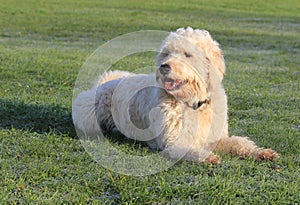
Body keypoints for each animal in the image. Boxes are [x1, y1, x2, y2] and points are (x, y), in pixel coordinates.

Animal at [72, 26, 278, 163]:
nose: (164, 67)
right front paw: (208, 157)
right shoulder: (175, 142)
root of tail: (104, 83)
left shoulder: (216, 138)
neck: (194, 104)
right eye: (166, 53)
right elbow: (190, 150)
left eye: (187, 54)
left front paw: (261, 152)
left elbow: (240, 143)